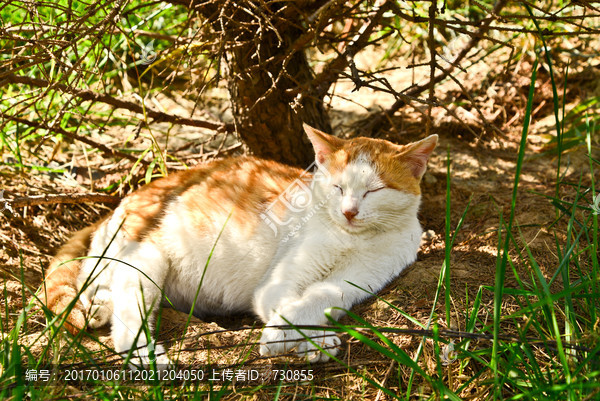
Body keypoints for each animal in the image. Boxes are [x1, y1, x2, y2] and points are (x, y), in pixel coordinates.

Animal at [41, 124, 436, 362]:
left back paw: (99, 309)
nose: (349, 211)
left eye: (374, 191)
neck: (350, 239)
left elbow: (322, 297)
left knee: (100, 288)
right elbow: (280, 304)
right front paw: (292, 339)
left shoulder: (360, 278)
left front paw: (305, 337)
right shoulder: (278, 282)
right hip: (146, 256)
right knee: (121, 297)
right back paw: (143, 354)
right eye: (338, 187)